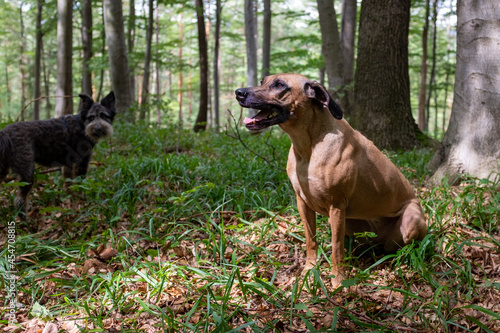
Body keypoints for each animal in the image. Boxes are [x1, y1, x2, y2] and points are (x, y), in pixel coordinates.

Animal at [234, 74, 426, 286]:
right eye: (263, 81)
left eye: (279, 85)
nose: (239, 92)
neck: (308, 146)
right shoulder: (303, 203)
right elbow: (311, 240)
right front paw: (310, 270)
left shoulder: (336, 206)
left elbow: (336, 248)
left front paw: (338, 280)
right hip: (351, 223)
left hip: (410, 221)